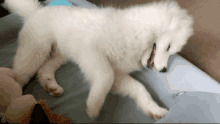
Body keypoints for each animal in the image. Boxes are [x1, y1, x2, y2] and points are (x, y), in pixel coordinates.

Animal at [4, 0, 192, 120]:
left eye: (172, 50)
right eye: (168, 47)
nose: (164, 71)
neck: (135, 34)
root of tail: (36, 11)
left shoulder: (117, 72)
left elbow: (139, 87)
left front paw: (153, 109)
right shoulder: (91, 53)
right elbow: (105, 76)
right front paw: (93, 106)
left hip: (60, 54)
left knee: (43, 69)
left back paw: (51, 86)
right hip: (36, 51)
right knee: (18, 76)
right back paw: (12, 104)